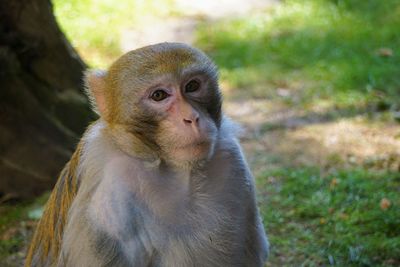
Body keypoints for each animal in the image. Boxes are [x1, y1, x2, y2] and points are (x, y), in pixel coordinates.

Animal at [25, 43, 268, 266]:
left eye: (192, 86)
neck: (174, 169)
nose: (191, 117)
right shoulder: (108, 193)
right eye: (159, 95)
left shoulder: (230, 160)